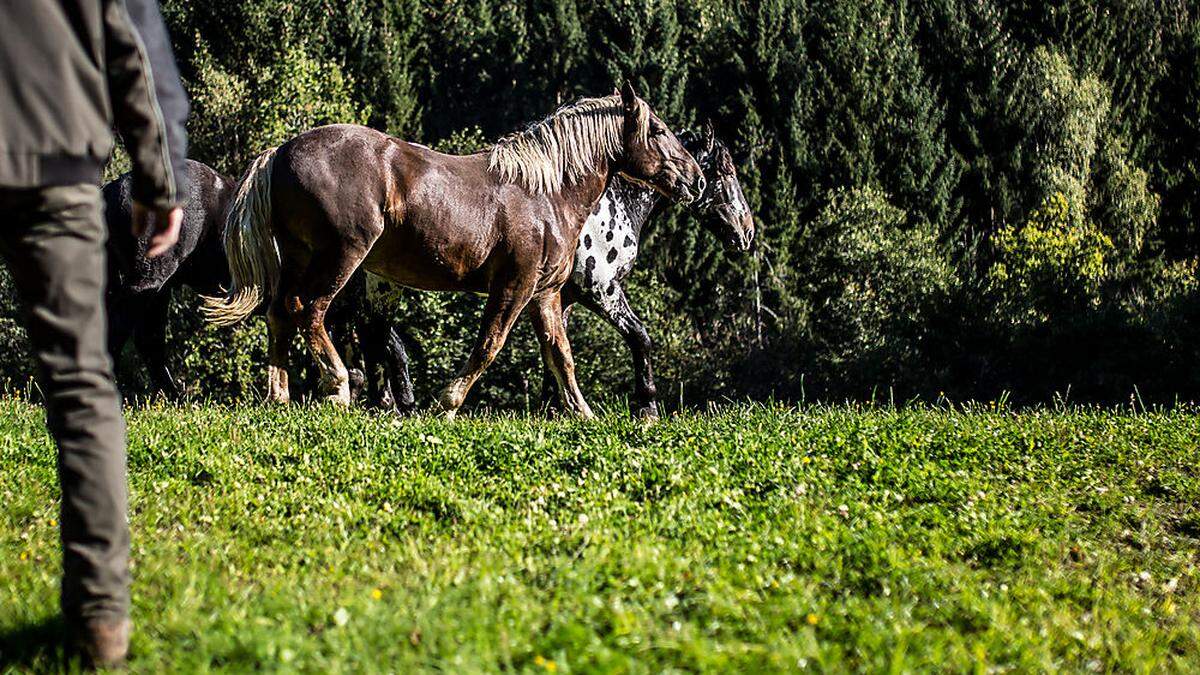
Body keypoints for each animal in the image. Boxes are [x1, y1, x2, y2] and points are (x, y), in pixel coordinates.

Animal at [202, 84, 705, 415]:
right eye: (658, 130)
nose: (696, 180)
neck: (543, 192)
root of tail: (282, 151)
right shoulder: (515, 285)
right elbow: (490, 344)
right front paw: (448, 402)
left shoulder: (545, 293)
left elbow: (560, 354)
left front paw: (582, 413)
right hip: (341, 256)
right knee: (309, 311)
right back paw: (339, 385)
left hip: (300, 257)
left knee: (279, 314)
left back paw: (279, 395)